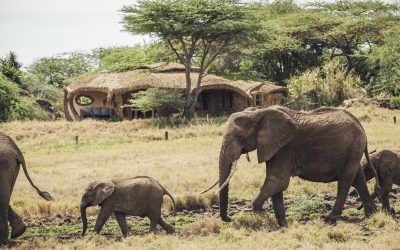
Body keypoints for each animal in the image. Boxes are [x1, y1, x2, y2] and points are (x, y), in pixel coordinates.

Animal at [202, 104, 380, 226]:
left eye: (240, 136)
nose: (230, 218)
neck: (258, 112)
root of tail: (359, 123)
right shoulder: (274, 147)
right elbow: (276, 184)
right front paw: (282, 225)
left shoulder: (285, 148)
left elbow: (278, 180)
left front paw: (263, 218)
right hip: (352, 150)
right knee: (357, 177)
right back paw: (371, 214)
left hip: (353, 147)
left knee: (344, 180)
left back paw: (330, 218)